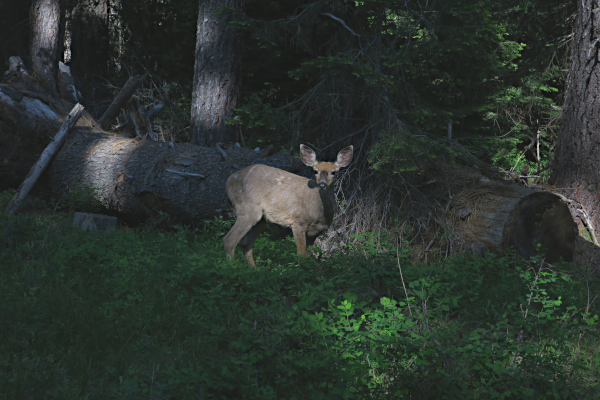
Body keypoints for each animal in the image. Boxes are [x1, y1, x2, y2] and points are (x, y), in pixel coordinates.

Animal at [226, 142, 356, 268]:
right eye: (315, 171)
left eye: (333, 172)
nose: (322, 185)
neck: (320, 213)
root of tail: (229, 180)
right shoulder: (298, 222)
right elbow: (302, 255)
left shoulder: (315, 232)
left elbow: (310, 256)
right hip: (247, 207)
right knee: (230, 239)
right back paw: (232, 267)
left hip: (261, 218)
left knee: (245, 242)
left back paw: (255, 269)